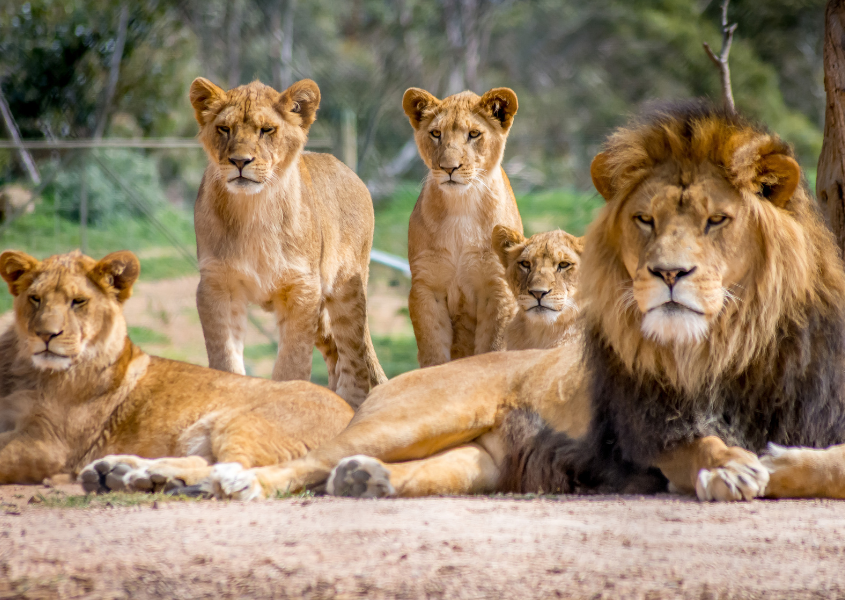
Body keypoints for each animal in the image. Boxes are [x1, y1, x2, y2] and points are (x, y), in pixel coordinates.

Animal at [0, 251, 352, 490]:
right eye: (35, 299)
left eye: (78, 301)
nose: (46, 335)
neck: (29, 370)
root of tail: (351, 412)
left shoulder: (49, 445)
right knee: (208, 461)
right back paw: (122, 471)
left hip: (243, 422)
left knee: (233, 468)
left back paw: (143, 476)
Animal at [190, 77, 384, 408]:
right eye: (224, 129)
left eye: (267, 130)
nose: (239, 161)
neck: (252, 210)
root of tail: (350, 171)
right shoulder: (217, 285)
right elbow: (225, 358)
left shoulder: (302, 288)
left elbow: (291, 364)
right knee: (335, 352)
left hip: (346, 288)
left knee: (354, 357)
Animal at [400, 84, 520, 366]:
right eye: (436, 134)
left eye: (474, 134)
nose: (449, 168)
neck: (461, 205)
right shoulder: (427, 286)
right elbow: (433, 351)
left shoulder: (498, 287)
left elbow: (493, 348)